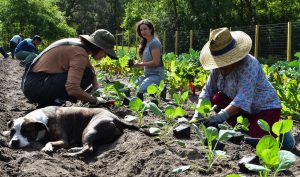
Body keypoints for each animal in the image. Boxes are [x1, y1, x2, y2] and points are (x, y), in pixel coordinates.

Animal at [0, 106, 149, 156]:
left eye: (26, 131)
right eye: (13, 131)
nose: (14, 142)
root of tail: (115, 117)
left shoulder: (63, 140)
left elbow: (50, 142)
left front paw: (47, 147)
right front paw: (4, 134)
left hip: (89, 130)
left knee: (89, 148)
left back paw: (70, 154)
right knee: (91, 146)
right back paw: (74, 149)